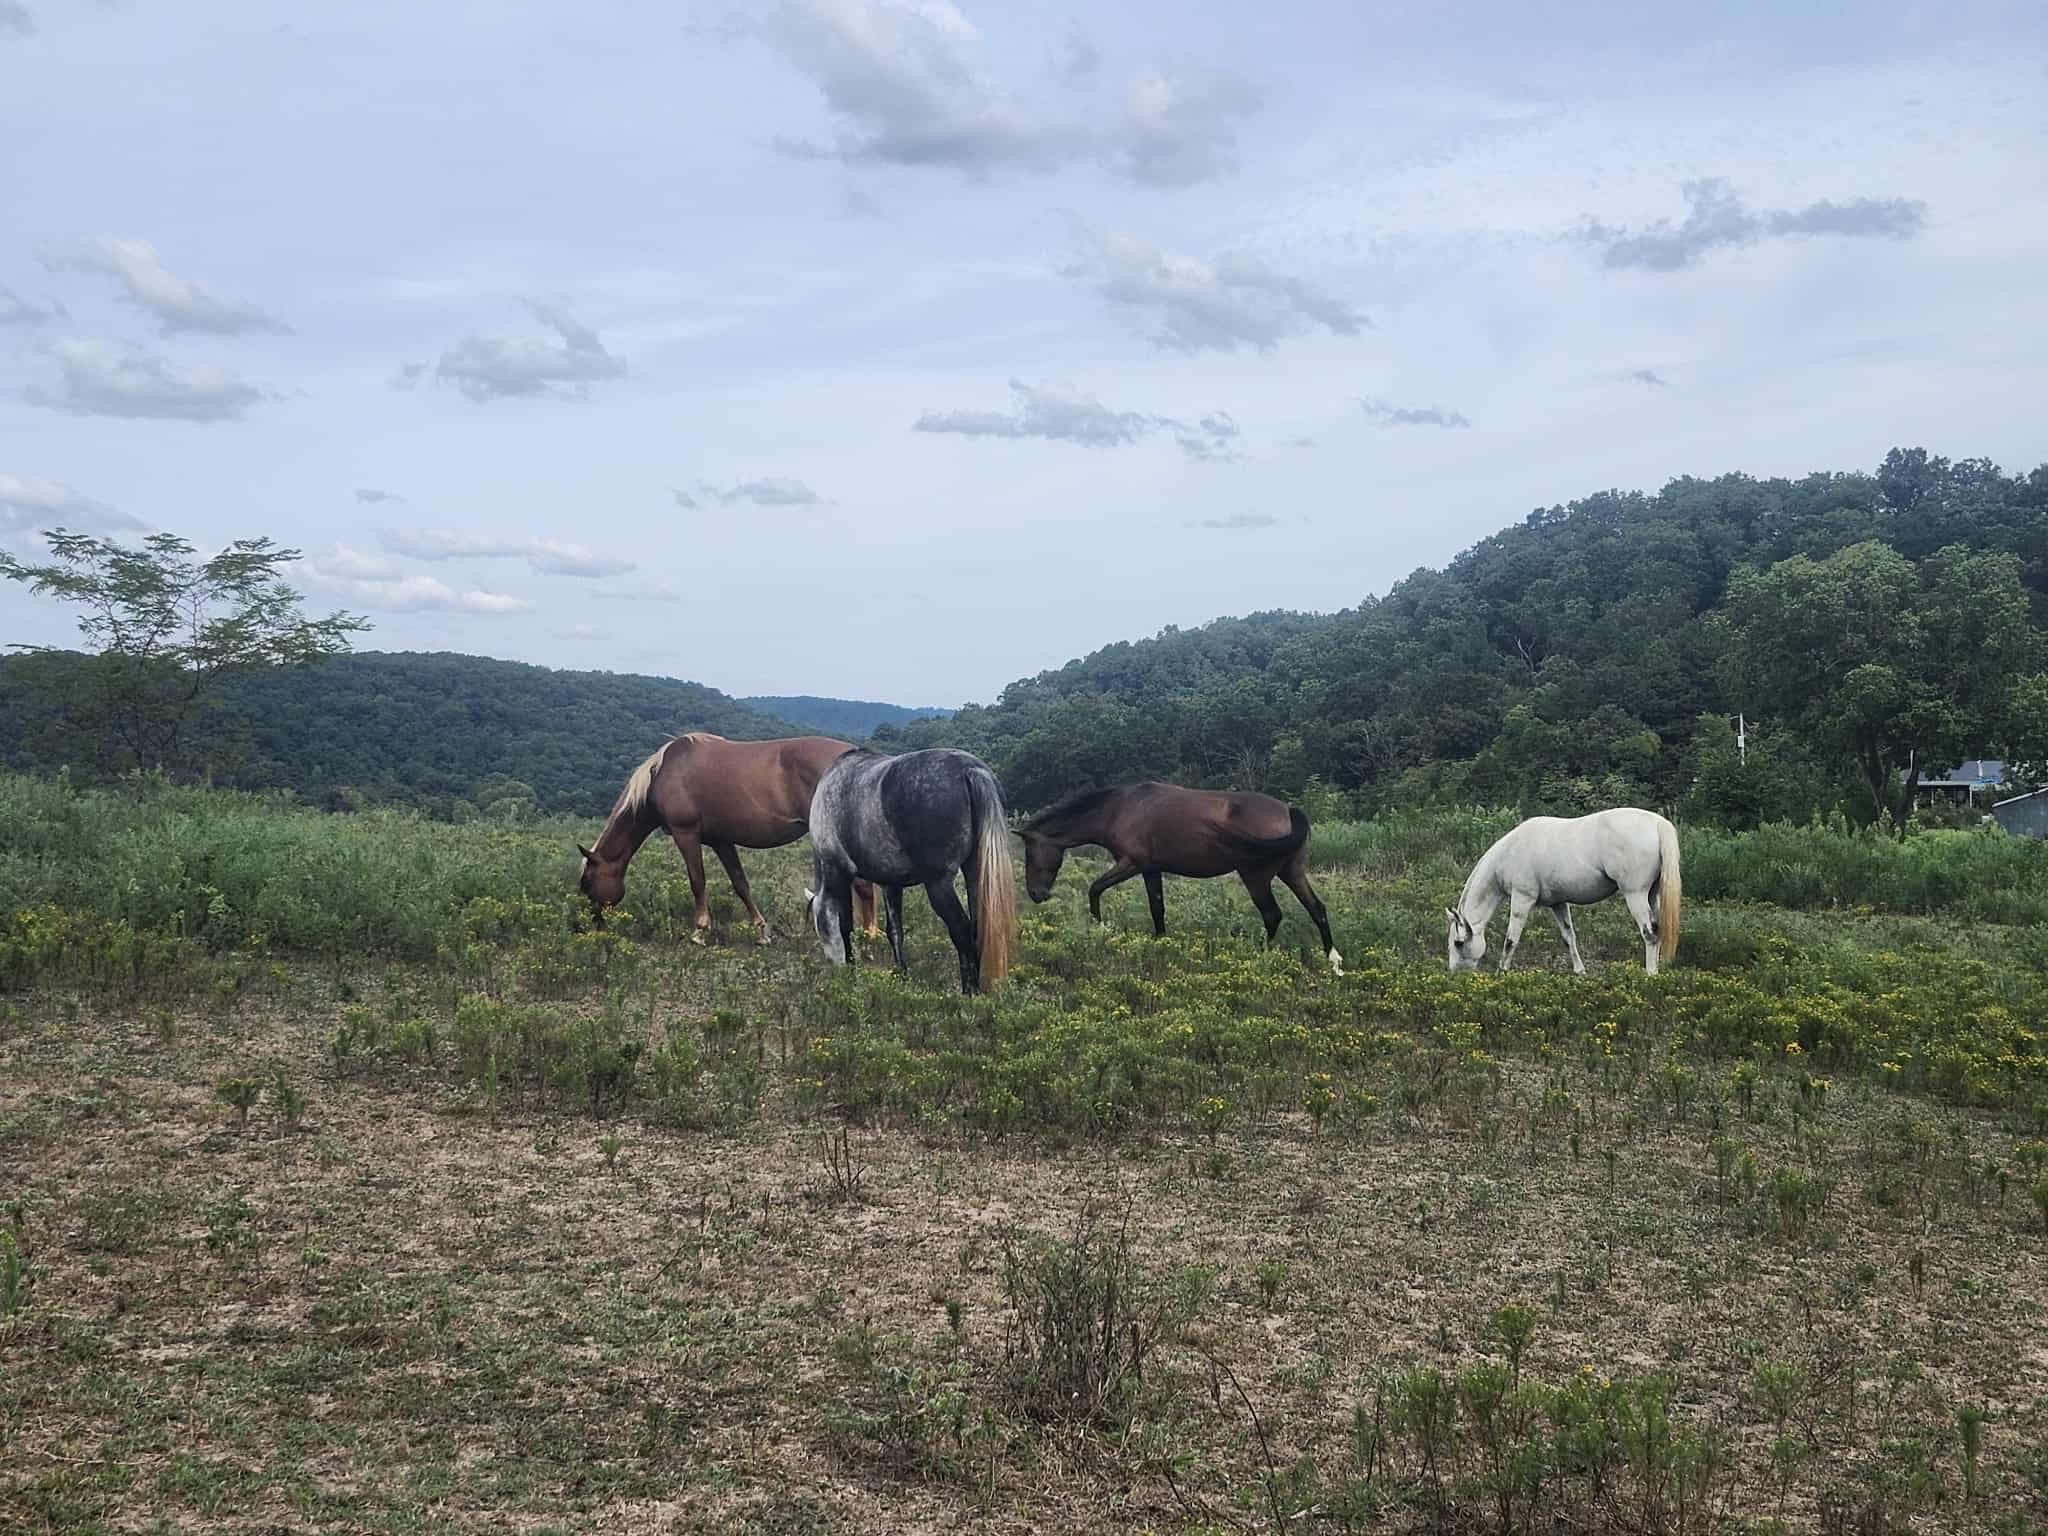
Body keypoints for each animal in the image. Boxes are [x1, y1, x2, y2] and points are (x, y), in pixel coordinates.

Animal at [577, 733, 877, 944]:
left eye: (587, 881)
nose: (593, 924)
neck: (662, 773)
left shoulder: (686, 834)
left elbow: (697, 881)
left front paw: (700, 931)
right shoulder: (721, 841)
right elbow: (740, 883)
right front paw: (762, 932)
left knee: (863, 885)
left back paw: (869, 938)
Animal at [804, 747, 1016, 994]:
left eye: (818, 929)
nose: (836, 972)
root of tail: (971, 770)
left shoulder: (838, 872)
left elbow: (845, 925)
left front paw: (853, 971)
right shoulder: (890, 883)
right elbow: (895, 930)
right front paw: (901, 976)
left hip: (938, 884)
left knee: (961, 930)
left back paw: (970, 992)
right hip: (974, 872)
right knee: (977, 925)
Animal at [1017, 781, 1343, 974]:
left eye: (1029, 853)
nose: (1035, 894)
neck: (1120, 809)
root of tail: (1288, 810)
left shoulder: (1131, 864)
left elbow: (1094, 889)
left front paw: (1099, 929)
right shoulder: (1150, 869)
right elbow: (1157, 907)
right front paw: (1161, 943)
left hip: (1256, 877)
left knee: (1273, 915)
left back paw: (1260, 955)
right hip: (1292, 871)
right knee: (1317, 909)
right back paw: (1334, 961)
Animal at [1446, 807, 1680, 975]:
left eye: (1459, 943)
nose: (1456, 974)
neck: (1510, 852)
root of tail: (1657, 824)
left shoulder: (1522, 899)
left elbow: (1511, 939)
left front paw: (1502, 972)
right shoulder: (1558, 903)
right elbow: (1569, 937)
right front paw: (1579, 971)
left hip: (1635, 894)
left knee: (1650, 934)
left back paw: (1650, 975)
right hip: (1652, 895)